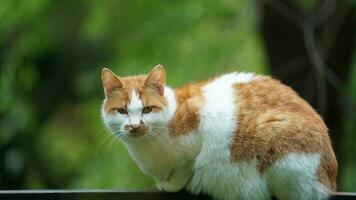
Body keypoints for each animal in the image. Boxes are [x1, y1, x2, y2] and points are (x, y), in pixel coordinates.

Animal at [99, 65, 336, 199]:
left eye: (147, 110)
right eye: (122, 111)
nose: (135, 125)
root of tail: (329, 179)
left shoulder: (196, 143)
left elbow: (185, 170)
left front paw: (171, 185)